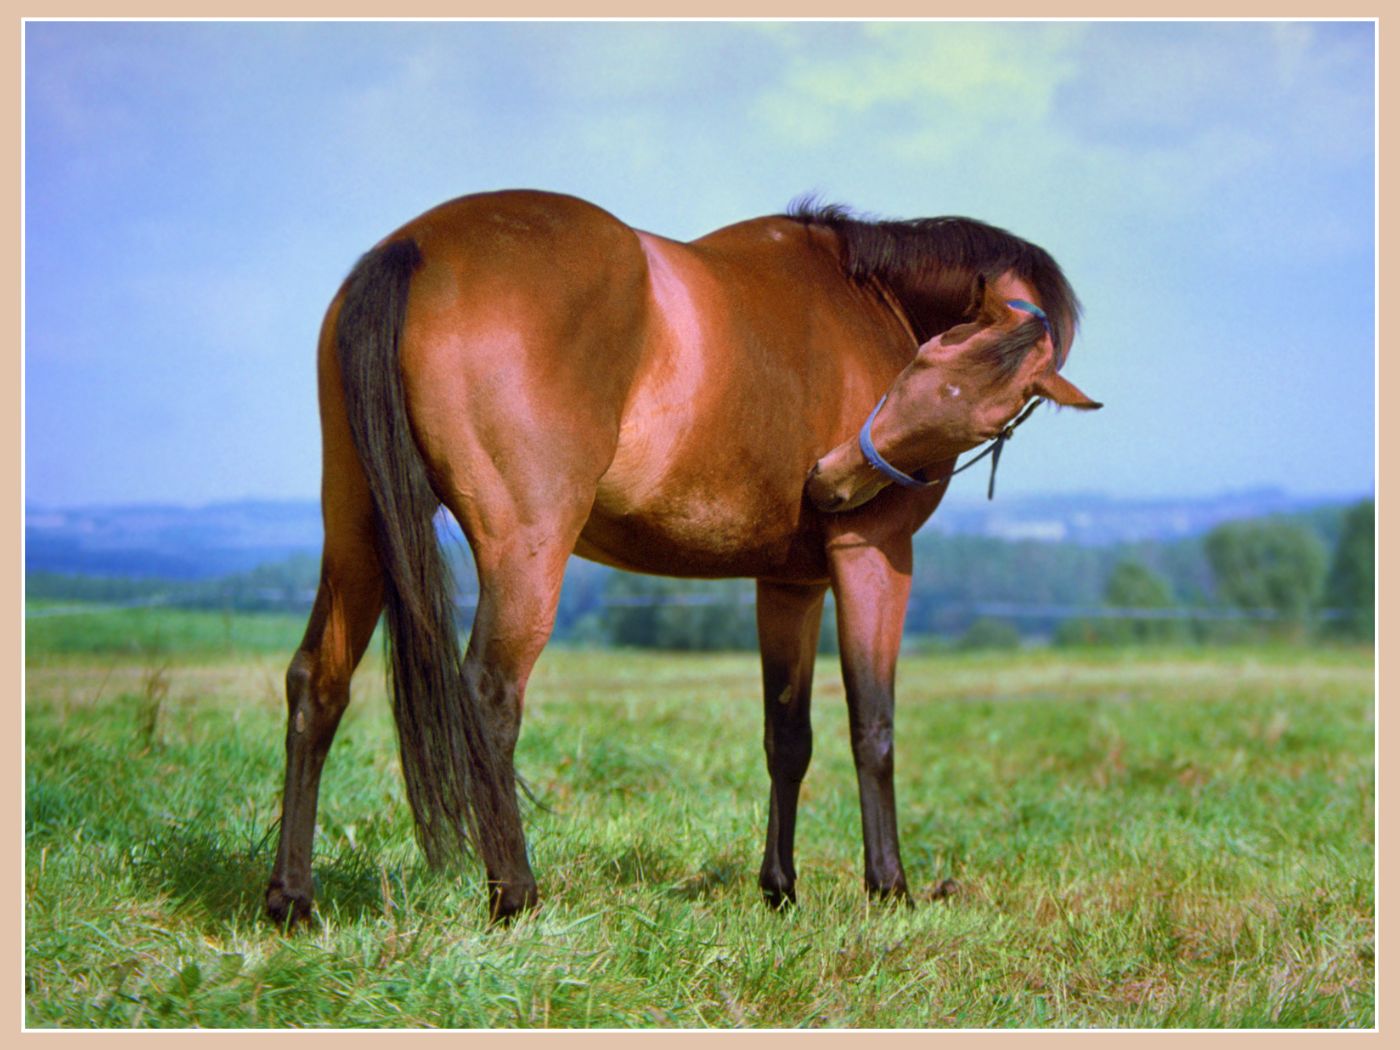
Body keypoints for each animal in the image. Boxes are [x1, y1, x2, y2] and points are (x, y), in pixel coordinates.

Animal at [265, 189, 1100, 926]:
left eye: (989, 413)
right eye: (926, 363)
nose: (829, 482)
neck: (867, 297)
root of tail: (416, 247)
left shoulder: (790, 582)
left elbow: (788, 737)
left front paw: (780, 889)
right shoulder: (874, 556)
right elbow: (874, 726)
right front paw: (889, 888)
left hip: (357, 531)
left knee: (317, 683)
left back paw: (291, 899)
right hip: (525, 549)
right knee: (490, 697)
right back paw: (516, 898)